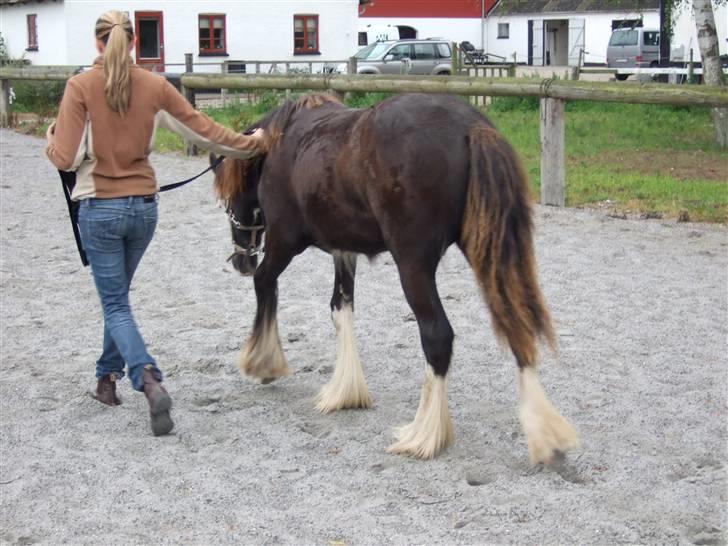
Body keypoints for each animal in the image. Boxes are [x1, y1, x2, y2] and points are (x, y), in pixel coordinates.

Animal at [211, 93, 579, 462]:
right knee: (516, 324)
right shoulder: (344, 249)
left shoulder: (284, 242)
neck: (283, 143)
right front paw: (346, 391)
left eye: (228, 197)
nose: (240, 261)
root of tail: (470, 125)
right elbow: (341, 309)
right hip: (490, 249)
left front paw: (262, 362)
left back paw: (424, 434)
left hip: (412, 265)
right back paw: (544, 431)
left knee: (437, 335)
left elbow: (265, 283)